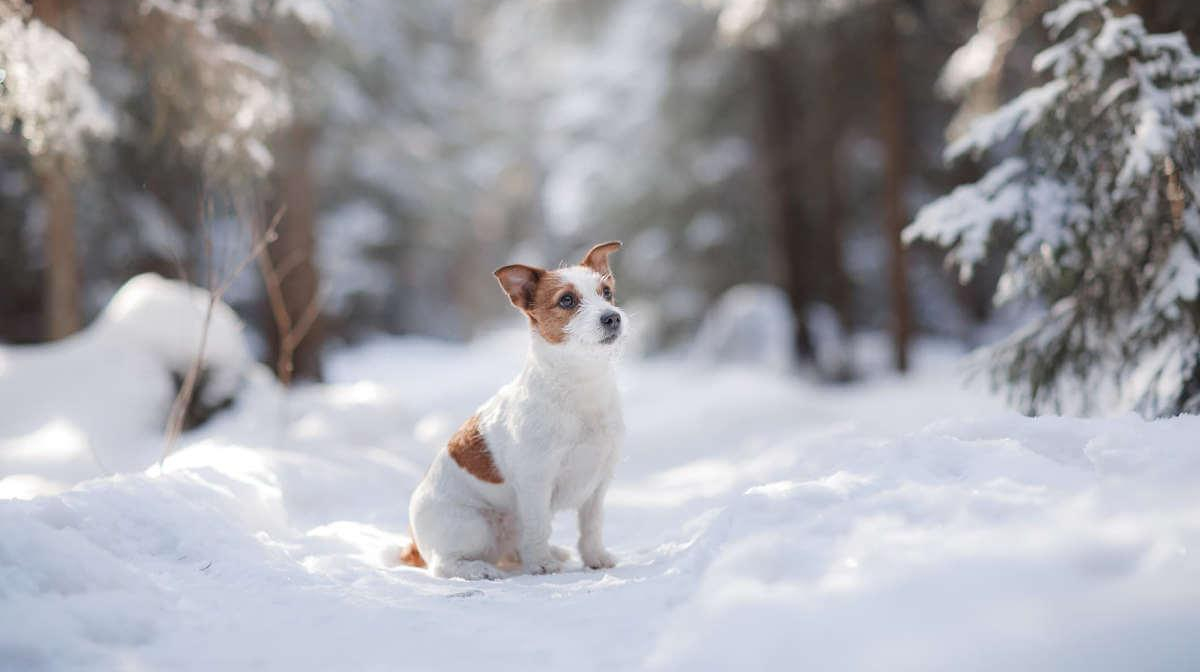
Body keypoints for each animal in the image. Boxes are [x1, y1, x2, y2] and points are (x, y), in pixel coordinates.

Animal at [403, 243, 628, 580]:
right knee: (444, 564)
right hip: (473, 526)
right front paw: (542, 565)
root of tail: (415, 543)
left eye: (607, 292)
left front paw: (595, 558)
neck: (580, 384)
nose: (612, 317)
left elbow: (591, 527)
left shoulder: (598, 483)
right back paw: (480, 569)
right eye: (567, 300)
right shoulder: (536, 482)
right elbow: (539, 526)